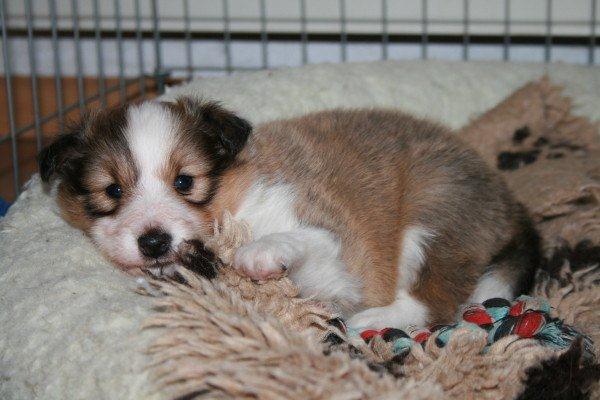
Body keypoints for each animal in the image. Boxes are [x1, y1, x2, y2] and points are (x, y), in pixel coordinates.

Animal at [39, 97, 540, 329]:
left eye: (185, 181)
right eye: (111, 190)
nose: (154, 242)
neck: (233, 203)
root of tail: (509, 201)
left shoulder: (335, 257)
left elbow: (305, 242)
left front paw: (259, 254)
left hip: (435, 213)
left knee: (437, 299)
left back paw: (373, 320)